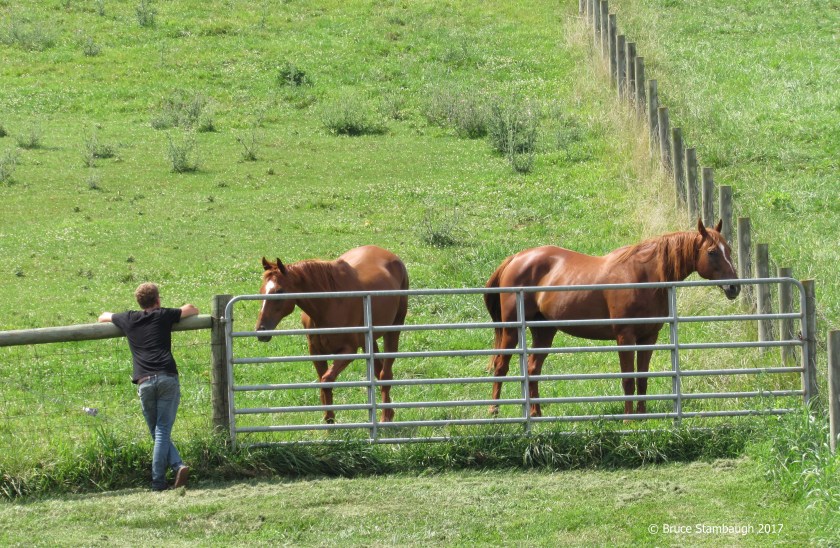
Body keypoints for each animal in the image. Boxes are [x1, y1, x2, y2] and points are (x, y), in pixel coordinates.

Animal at [255, 245, 409, 423]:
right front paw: (329, 420)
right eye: (261, 291)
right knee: (378, 371)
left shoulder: (348, 351)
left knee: (385, 375)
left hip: (393, 330)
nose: (261, 330)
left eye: (279, 291)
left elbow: (327, 379)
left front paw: (330, 419)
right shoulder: (316, 351)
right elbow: (323, 382)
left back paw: (386, 416)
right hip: (368, 341)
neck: (329, 304)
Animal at [484, 219, 740, 418]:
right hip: (512, 330)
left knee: (533, 368)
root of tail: (516, 258)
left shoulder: (649, 337)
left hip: (544, 331)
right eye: (712, 252)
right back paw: (494, 412)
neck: (643, 277)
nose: (734, 287)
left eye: (729, 249)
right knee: (501, 366)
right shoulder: (624, 337)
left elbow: (642, 378)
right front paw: (628, 418)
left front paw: (642, 416)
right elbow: (627, 379)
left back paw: (536, 414)